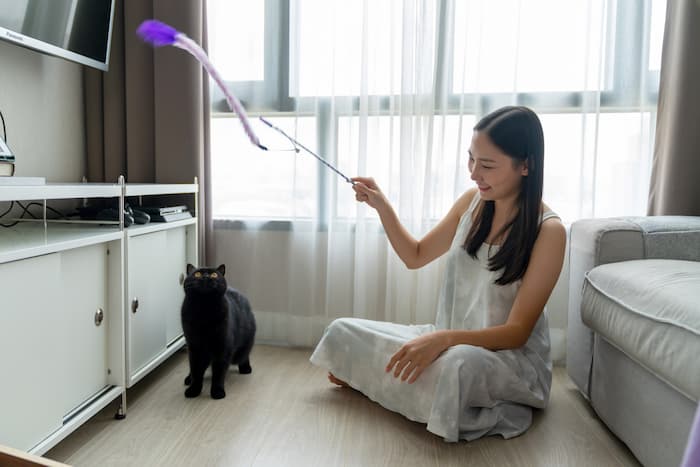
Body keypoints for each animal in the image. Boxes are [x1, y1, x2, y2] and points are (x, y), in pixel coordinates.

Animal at [180, 266, 258, 400]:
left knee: (244, 354)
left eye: (214, 275)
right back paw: (189, 379)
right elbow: (196, 370)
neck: (203, 311)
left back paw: (245, 368)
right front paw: (194, 390)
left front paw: (217, 391)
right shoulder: (194, 347)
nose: (206, 276)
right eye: (197, 274)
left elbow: (219, 373)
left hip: (243, 344)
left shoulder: (223, 348)